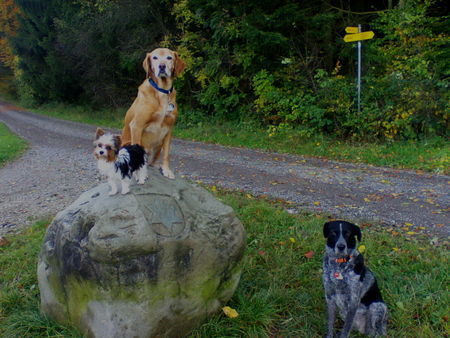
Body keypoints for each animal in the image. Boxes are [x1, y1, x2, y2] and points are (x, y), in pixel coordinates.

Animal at [120, 48, 185, 180]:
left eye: (169, 58)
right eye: (155, 57)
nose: (162, 66)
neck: (162, 91)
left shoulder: (169, 129)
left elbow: (167, 154)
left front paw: (166, 170)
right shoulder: (137, 125)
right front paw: (139, 173)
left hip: (159, 144)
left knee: (151, 161)